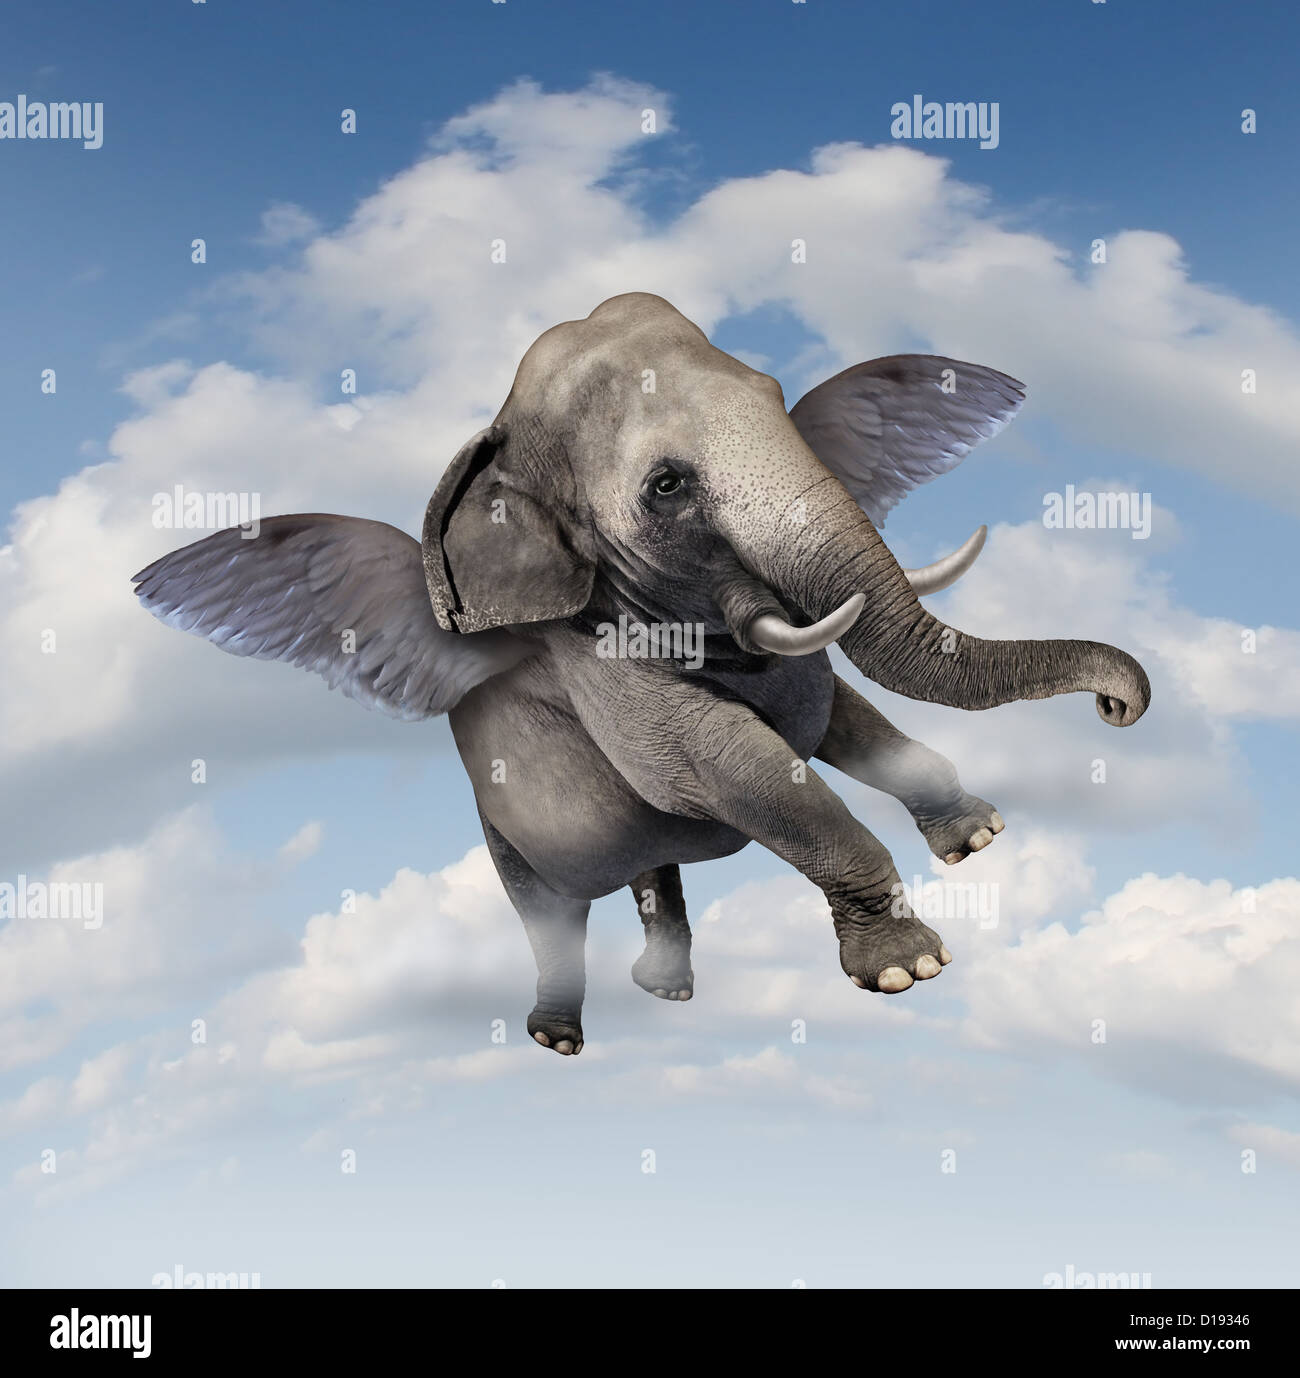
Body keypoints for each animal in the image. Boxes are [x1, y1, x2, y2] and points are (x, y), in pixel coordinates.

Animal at [133, 292, 1150, 1056]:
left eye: (779, 395)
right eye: (666, 487)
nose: (1120, 702)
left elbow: (838, 718)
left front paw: (978, 839)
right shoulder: (593, 662)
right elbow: (735, 766)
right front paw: (910, 970)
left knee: (653, 872)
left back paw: (665, 990)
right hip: (503, 830)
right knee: (548, 914)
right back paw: (558, 1037)